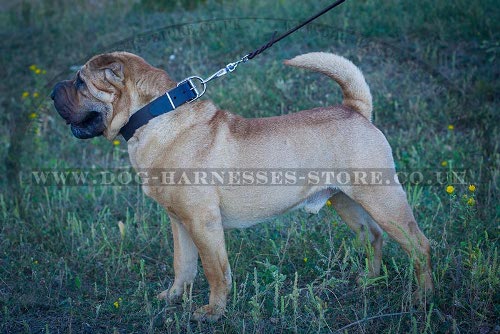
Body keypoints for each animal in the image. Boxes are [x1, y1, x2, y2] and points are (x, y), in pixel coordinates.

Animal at [51, 51, 434, 320]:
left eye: (80, 82)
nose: (54, 90)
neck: (155, 119)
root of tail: (355, 109)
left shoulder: (203, 223)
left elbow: (214, 271)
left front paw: (212, 313)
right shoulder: (179, 222)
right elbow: (183, 265)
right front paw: (173, 298)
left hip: (383, 201)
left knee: (420, 246)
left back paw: (422, 299)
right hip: (345, 202)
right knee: (373, 237)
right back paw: (370, 281)